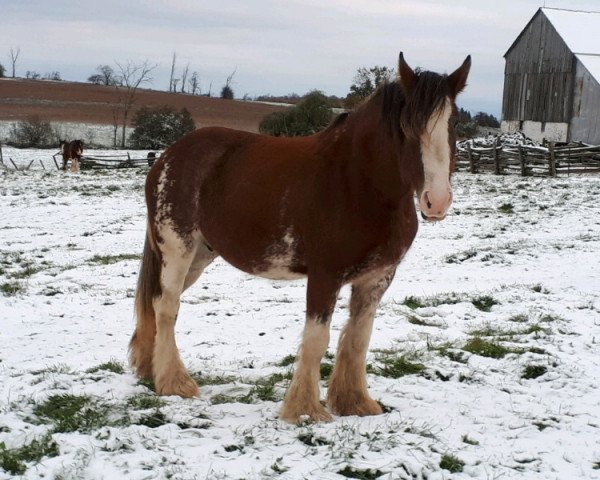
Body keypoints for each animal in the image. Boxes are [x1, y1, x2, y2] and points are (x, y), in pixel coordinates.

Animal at [129, 52, 472, 422]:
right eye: (406, 128)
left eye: (454, 124)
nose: (436, 201)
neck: (358, 183)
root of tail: (167, 157)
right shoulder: (325, 276)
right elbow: (317, 339)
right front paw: (305, 410)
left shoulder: (377, 277)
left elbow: (358, 338)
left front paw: (355, 402)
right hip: (177, 249)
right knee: (167, 306)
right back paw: (174, 382)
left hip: (199, 256)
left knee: (156, 302)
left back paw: (150, 370)